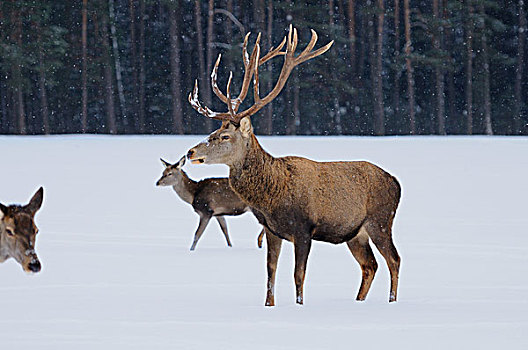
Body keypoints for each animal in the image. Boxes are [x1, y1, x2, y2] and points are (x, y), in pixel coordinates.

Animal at [186, 26, 400, 306]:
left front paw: (299, 305)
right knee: (370, 266)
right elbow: (270, 272)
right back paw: (358, 301)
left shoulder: (303, 228)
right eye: (213, 131)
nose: (191, 152)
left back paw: (392, 301)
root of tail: (397, 183)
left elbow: (299, 275)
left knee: (394, 260)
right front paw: (269, 305)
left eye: (224, 136)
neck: (273, 195)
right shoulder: (271, 230)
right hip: (355, 233)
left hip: (381, 220)